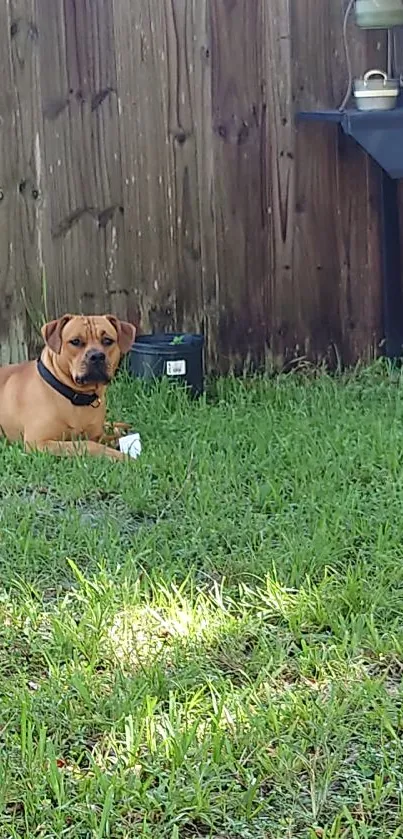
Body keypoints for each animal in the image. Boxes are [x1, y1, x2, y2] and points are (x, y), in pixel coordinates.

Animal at [0, 316, 137, 460]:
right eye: (75, 341)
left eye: (107, 340)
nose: (97, 356)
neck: (77, 396)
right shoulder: (39, 443)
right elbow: (88, 444)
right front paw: (123, 457)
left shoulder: (97, 434)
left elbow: (107, 438)